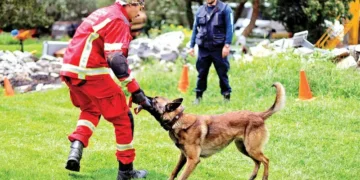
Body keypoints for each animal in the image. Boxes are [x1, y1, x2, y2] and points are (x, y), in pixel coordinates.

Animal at [136, 82, 286, 179]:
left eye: (154, 100)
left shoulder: (193, 160)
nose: (141, 95)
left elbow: (181, 177)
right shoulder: (183, 156)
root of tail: (258, 115)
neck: (177, 119)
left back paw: (264, 177)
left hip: (252, 148)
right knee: (258, 162)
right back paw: (252, 176)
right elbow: (174, 173)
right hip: (244, 148)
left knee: (266, 160)